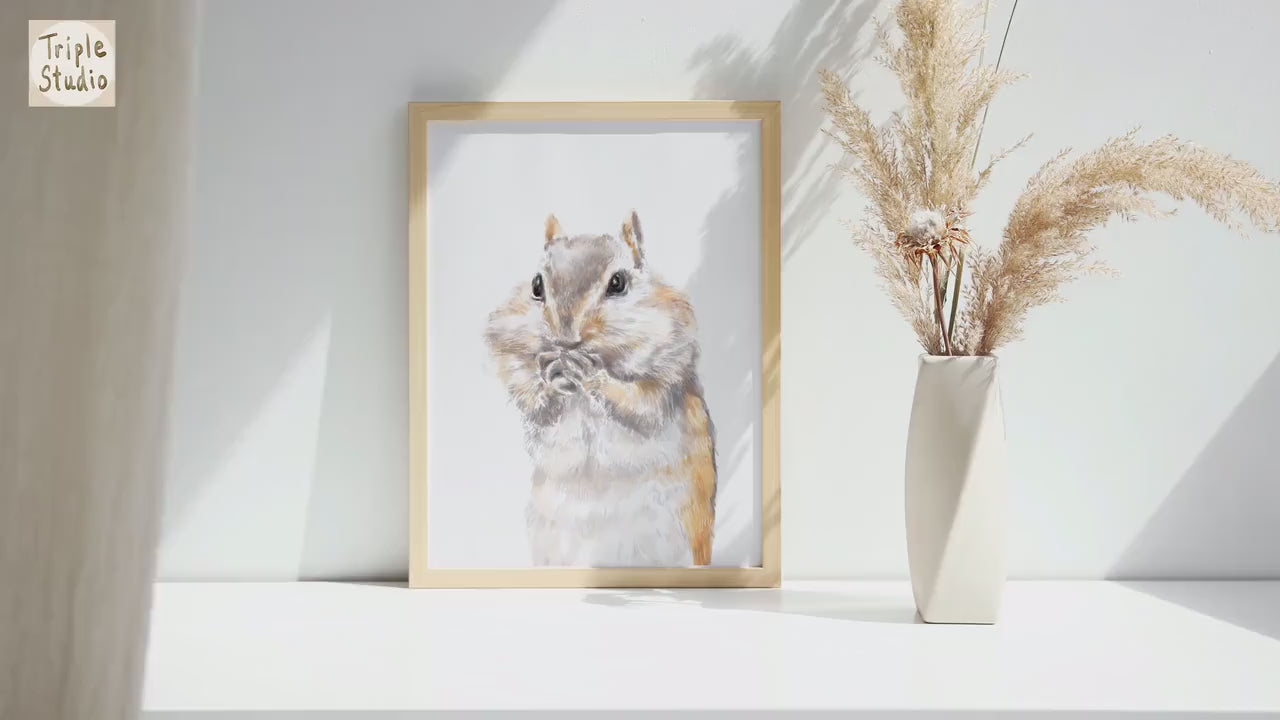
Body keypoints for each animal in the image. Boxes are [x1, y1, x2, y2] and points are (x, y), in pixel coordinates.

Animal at [484, 211, 717, 567]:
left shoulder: (671, 365)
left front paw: (594, 375)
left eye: (618, 283)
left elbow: (643, 405)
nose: (565, 338)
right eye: (536, 285)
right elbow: (528, 395)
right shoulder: (510, 354)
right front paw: (551, 382)